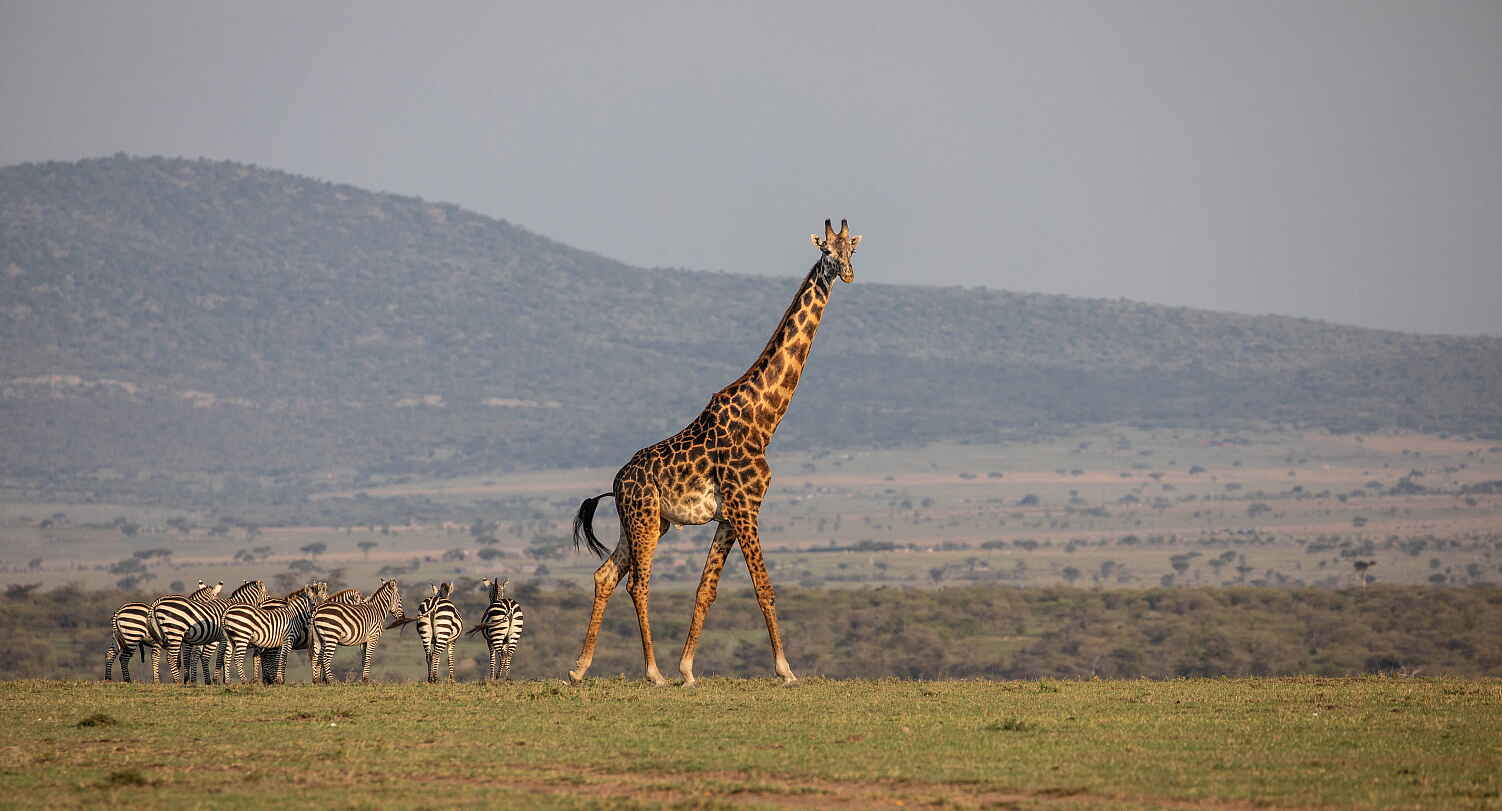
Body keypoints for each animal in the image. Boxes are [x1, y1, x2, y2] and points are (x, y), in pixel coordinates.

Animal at [569, 218, 862, 687]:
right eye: (826, 252)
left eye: (852, 249)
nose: (848, 274)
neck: (764, 421)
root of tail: (615, 482)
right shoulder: (745, 507)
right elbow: (763, 586)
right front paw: (786, 669)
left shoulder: (729, 515)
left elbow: (706, 589)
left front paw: (688, 669)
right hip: (644, 518)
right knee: (637, 583)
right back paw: (652, 672)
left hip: (646, 522)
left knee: (605, 574)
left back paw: (580, 668)